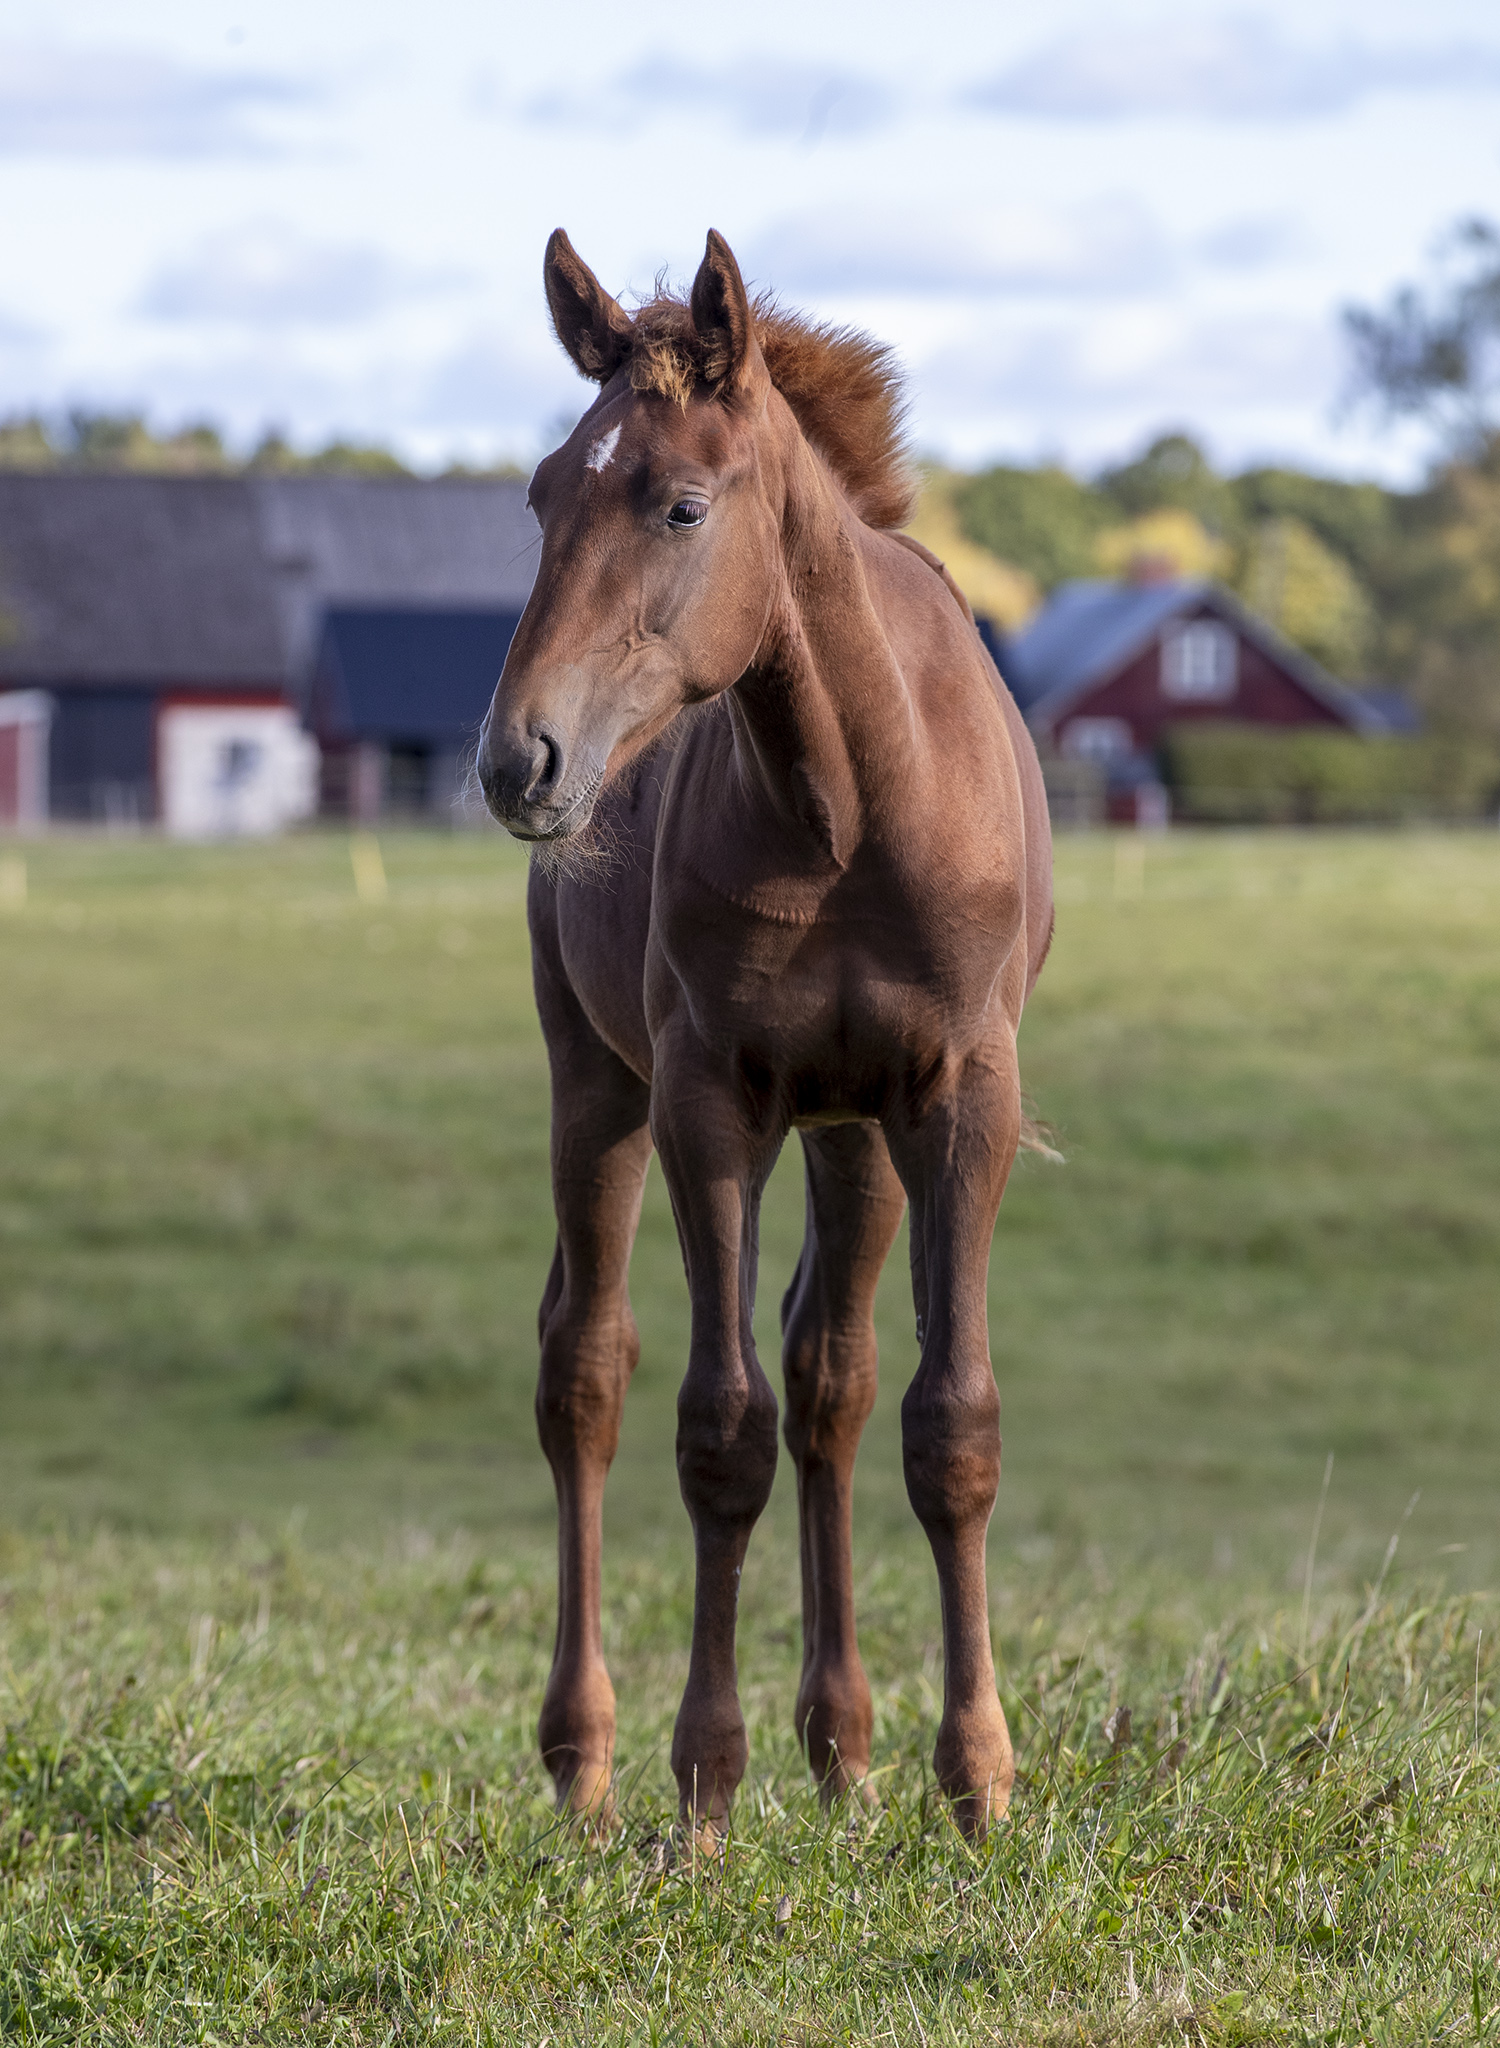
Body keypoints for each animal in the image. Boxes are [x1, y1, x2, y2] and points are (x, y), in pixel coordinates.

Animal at [479, 228, 1057, 1843]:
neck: (851, 803)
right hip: (595, 1086)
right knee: (584, 1369)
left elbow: (945, 1420)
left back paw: (847, 1748)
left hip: (854, 1130)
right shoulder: (706, 1099)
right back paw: (586, 1760)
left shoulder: (958, 1099)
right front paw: (705, 1789)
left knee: (831, 1375)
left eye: (680, 503)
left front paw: (977, 1779)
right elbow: (713, 1426)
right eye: (541, 496)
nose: (518, 758)